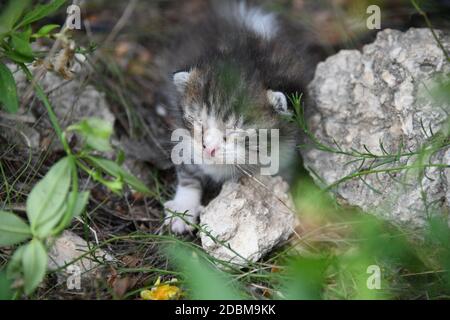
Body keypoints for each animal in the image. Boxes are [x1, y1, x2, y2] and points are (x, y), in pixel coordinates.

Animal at [160, 1, 322, 234]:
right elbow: (188, 170)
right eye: (198, 122)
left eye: (234, 130)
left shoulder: (285, 153)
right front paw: (183, 209)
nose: (208, 149)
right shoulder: (186, 140)